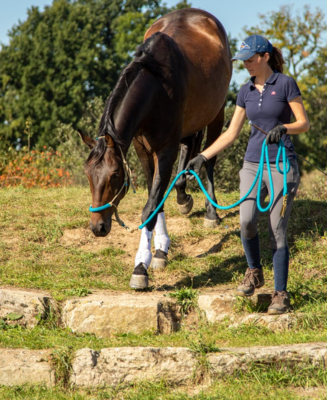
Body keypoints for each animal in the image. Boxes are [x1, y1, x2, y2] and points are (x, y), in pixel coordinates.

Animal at [79, 7, 233, 290]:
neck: (157, 86)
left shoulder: (165, 150)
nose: (98, 227)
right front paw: (161, 249)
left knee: (209, 158)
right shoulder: (143, 149)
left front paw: (141, 266)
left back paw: (211, 213)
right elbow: (156, 198)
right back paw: (183, 196)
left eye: (114, 175)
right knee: (189, 149)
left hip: (216, 114)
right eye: (88, 175)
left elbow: (150, 207)